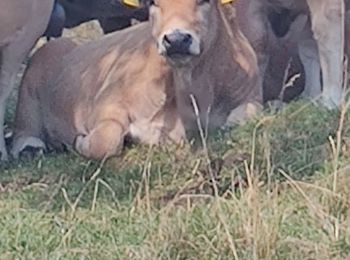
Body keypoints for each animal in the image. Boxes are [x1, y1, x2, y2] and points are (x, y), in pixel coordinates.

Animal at [10, 0, 262, 160]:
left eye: (204, 0)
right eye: (153, 2)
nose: (176, 39)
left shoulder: (251, 96)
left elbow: (244, 116)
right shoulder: (108, 104)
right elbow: (105, 141)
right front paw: (79, 141)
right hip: (29, 92)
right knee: (24, 131)